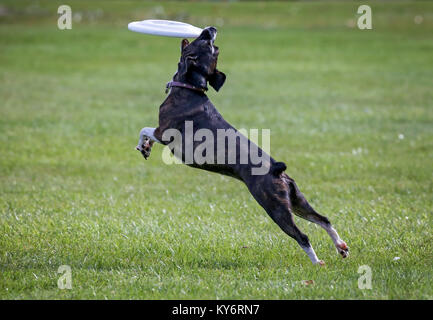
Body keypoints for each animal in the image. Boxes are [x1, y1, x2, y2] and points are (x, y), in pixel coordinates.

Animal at [135, 26, 348, 264]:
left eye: (208, 43)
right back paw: (340, 247)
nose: (211, 29)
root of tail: (277, 170)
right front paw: (145, 148)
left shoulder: (163, 132)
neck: (190, 87)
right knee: (323, 219)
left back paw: (317, 263)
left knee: (303, 236)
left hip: (275, 208)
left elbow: (144, 130)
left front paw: (143, 146)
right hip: (296, 202)